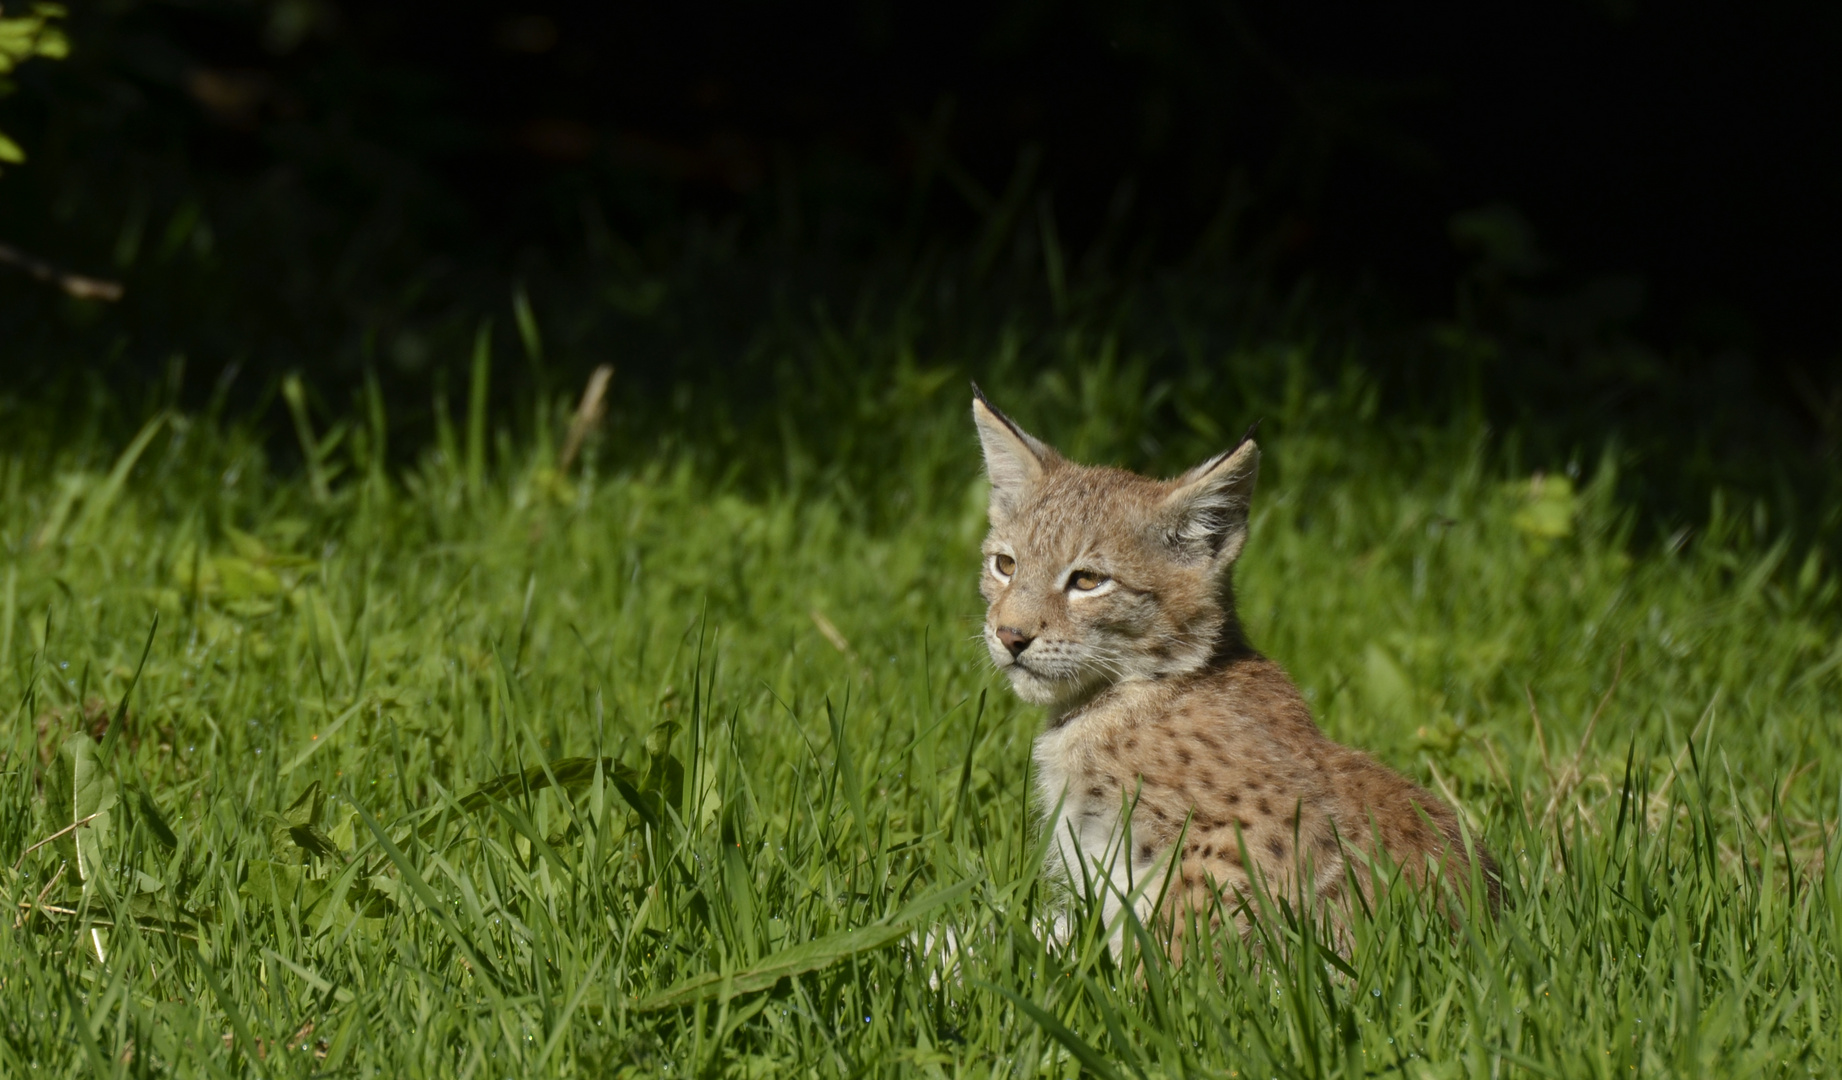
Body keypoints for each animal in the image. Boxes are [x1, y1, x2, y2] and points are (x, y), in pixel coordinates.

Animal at [972, 387, 1503, 950]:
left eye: (1089, 581)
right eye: (1005, 565)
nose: (1009, 636)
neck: (1130, 688)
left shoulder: (1254, 830)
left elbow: (1175, 943)